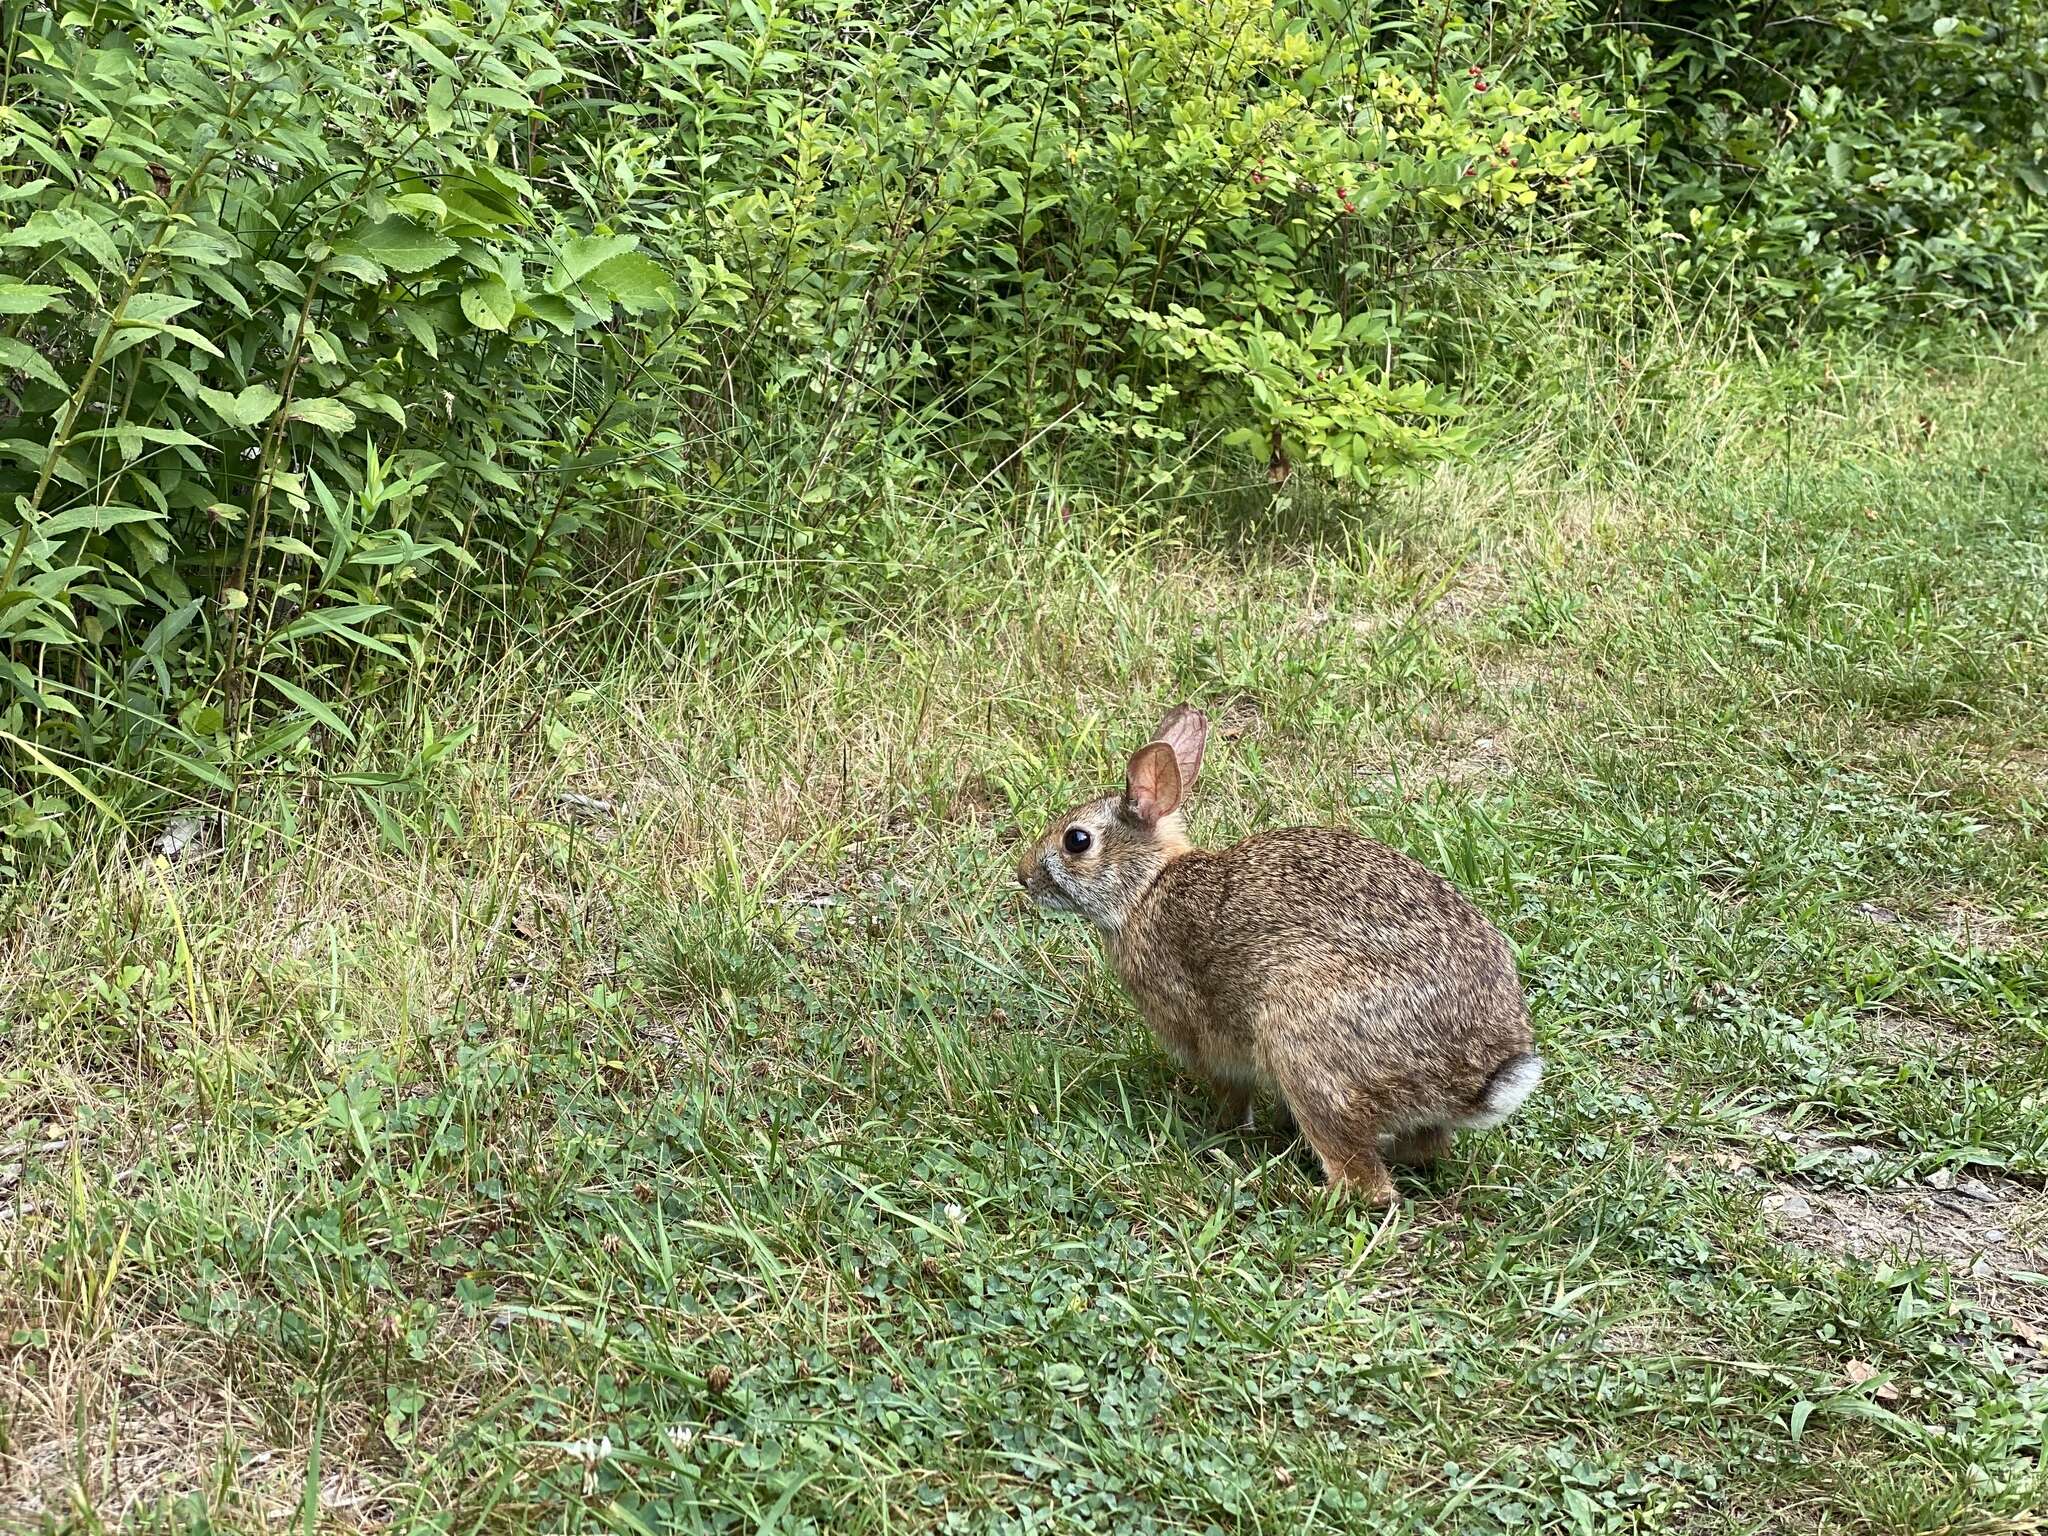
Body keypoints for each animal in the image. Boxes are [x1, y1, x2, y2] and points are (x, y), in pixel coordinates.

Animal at [1015, 708, 1540, 1204]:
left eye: (1076, 840)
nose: (1023, 875)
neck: (1147, 888)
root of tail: (1473, 1077)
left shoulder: (1207, 1040)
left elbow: (1230, 1092)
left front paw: (1219, 1132)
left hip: (1302, 1048)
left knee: (1364, 1180)